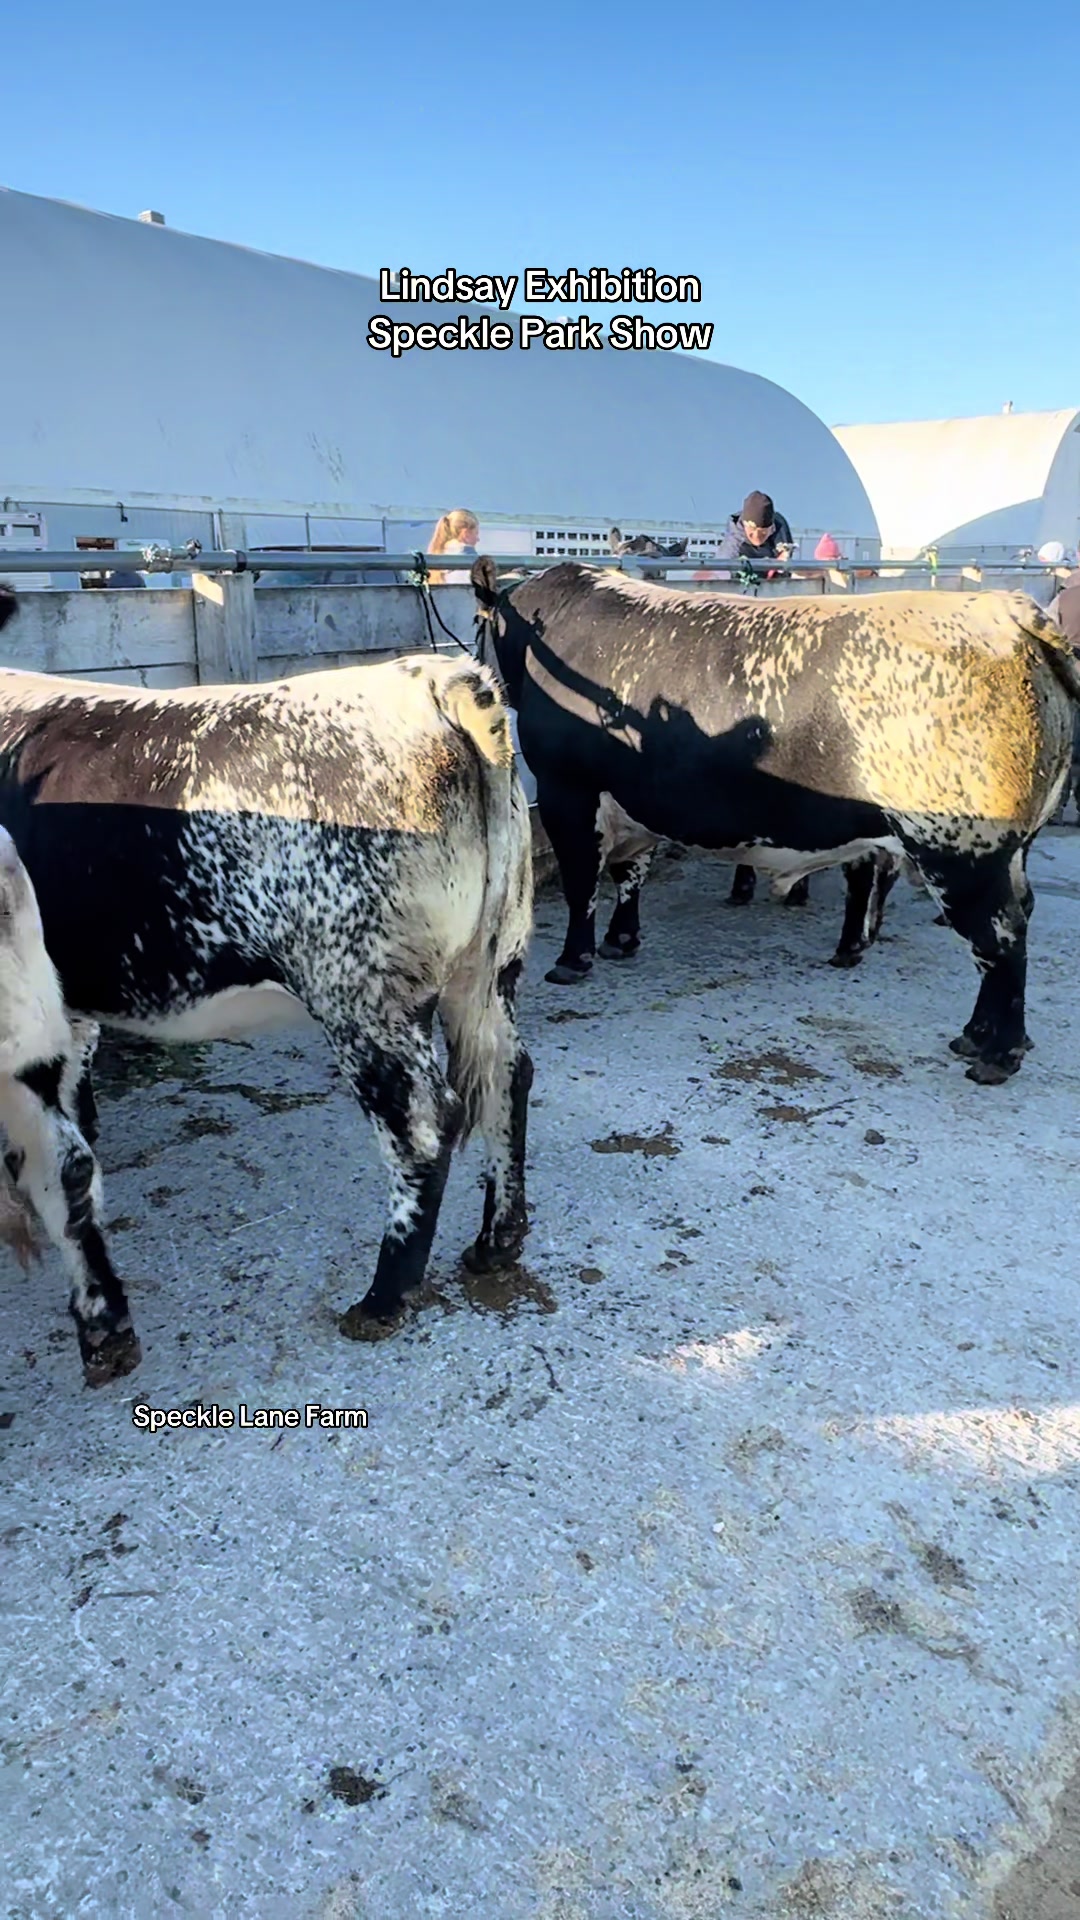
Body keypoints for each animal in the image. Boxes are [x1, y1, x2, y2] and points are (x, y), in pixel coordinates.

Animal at [0, 586, 534, 1383]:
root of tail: (428, 680)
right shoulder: (64, 1011)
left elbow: (54, 1162)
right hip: (490, 969)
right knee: (504, 1076)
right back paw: (495, 1244)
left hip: (363, 997)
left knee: (422, 1128)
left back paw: (382, 1299)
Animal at [472, 559, 1079, 1083]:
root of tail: (1010, 613)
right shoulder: (634, 801)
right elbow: (629, 875)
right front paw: (623, 939)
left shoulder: (567, 791)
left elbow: (581, 883)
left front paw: (574, 959)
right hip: (1004, 852)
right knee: (1009, 926)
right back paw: (976, 1034)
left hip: (961, 850)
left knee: (1001, 938)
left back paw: (995, 1052)